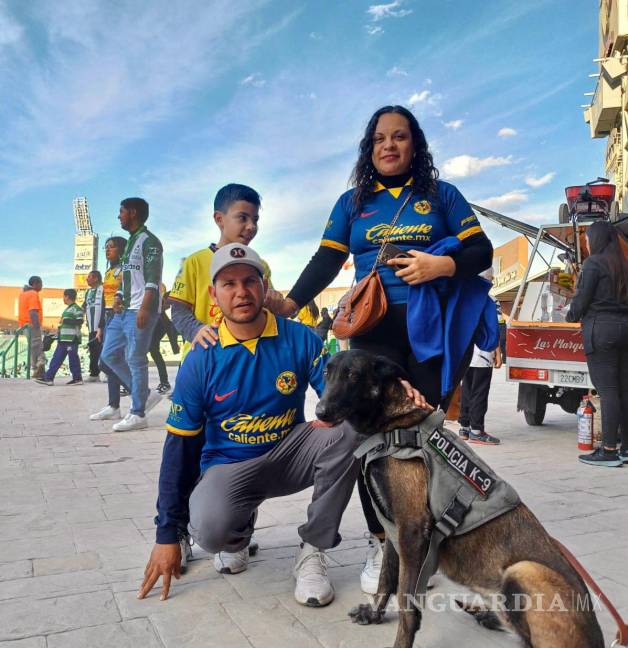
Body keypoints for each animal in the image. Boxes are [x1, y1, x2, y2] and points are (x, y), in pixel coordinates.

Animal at [316, 352, 604, 644]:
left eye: (353, 376)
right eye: (327, 373)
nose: (319, 412)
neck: (395, 424)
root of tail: (597, 636)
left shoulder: (411, 530)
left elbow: (407, 602)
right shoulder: (394, 531)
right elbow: (386, 579)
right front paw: (374, 614)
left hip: (523, 570)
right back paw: (483, 614)